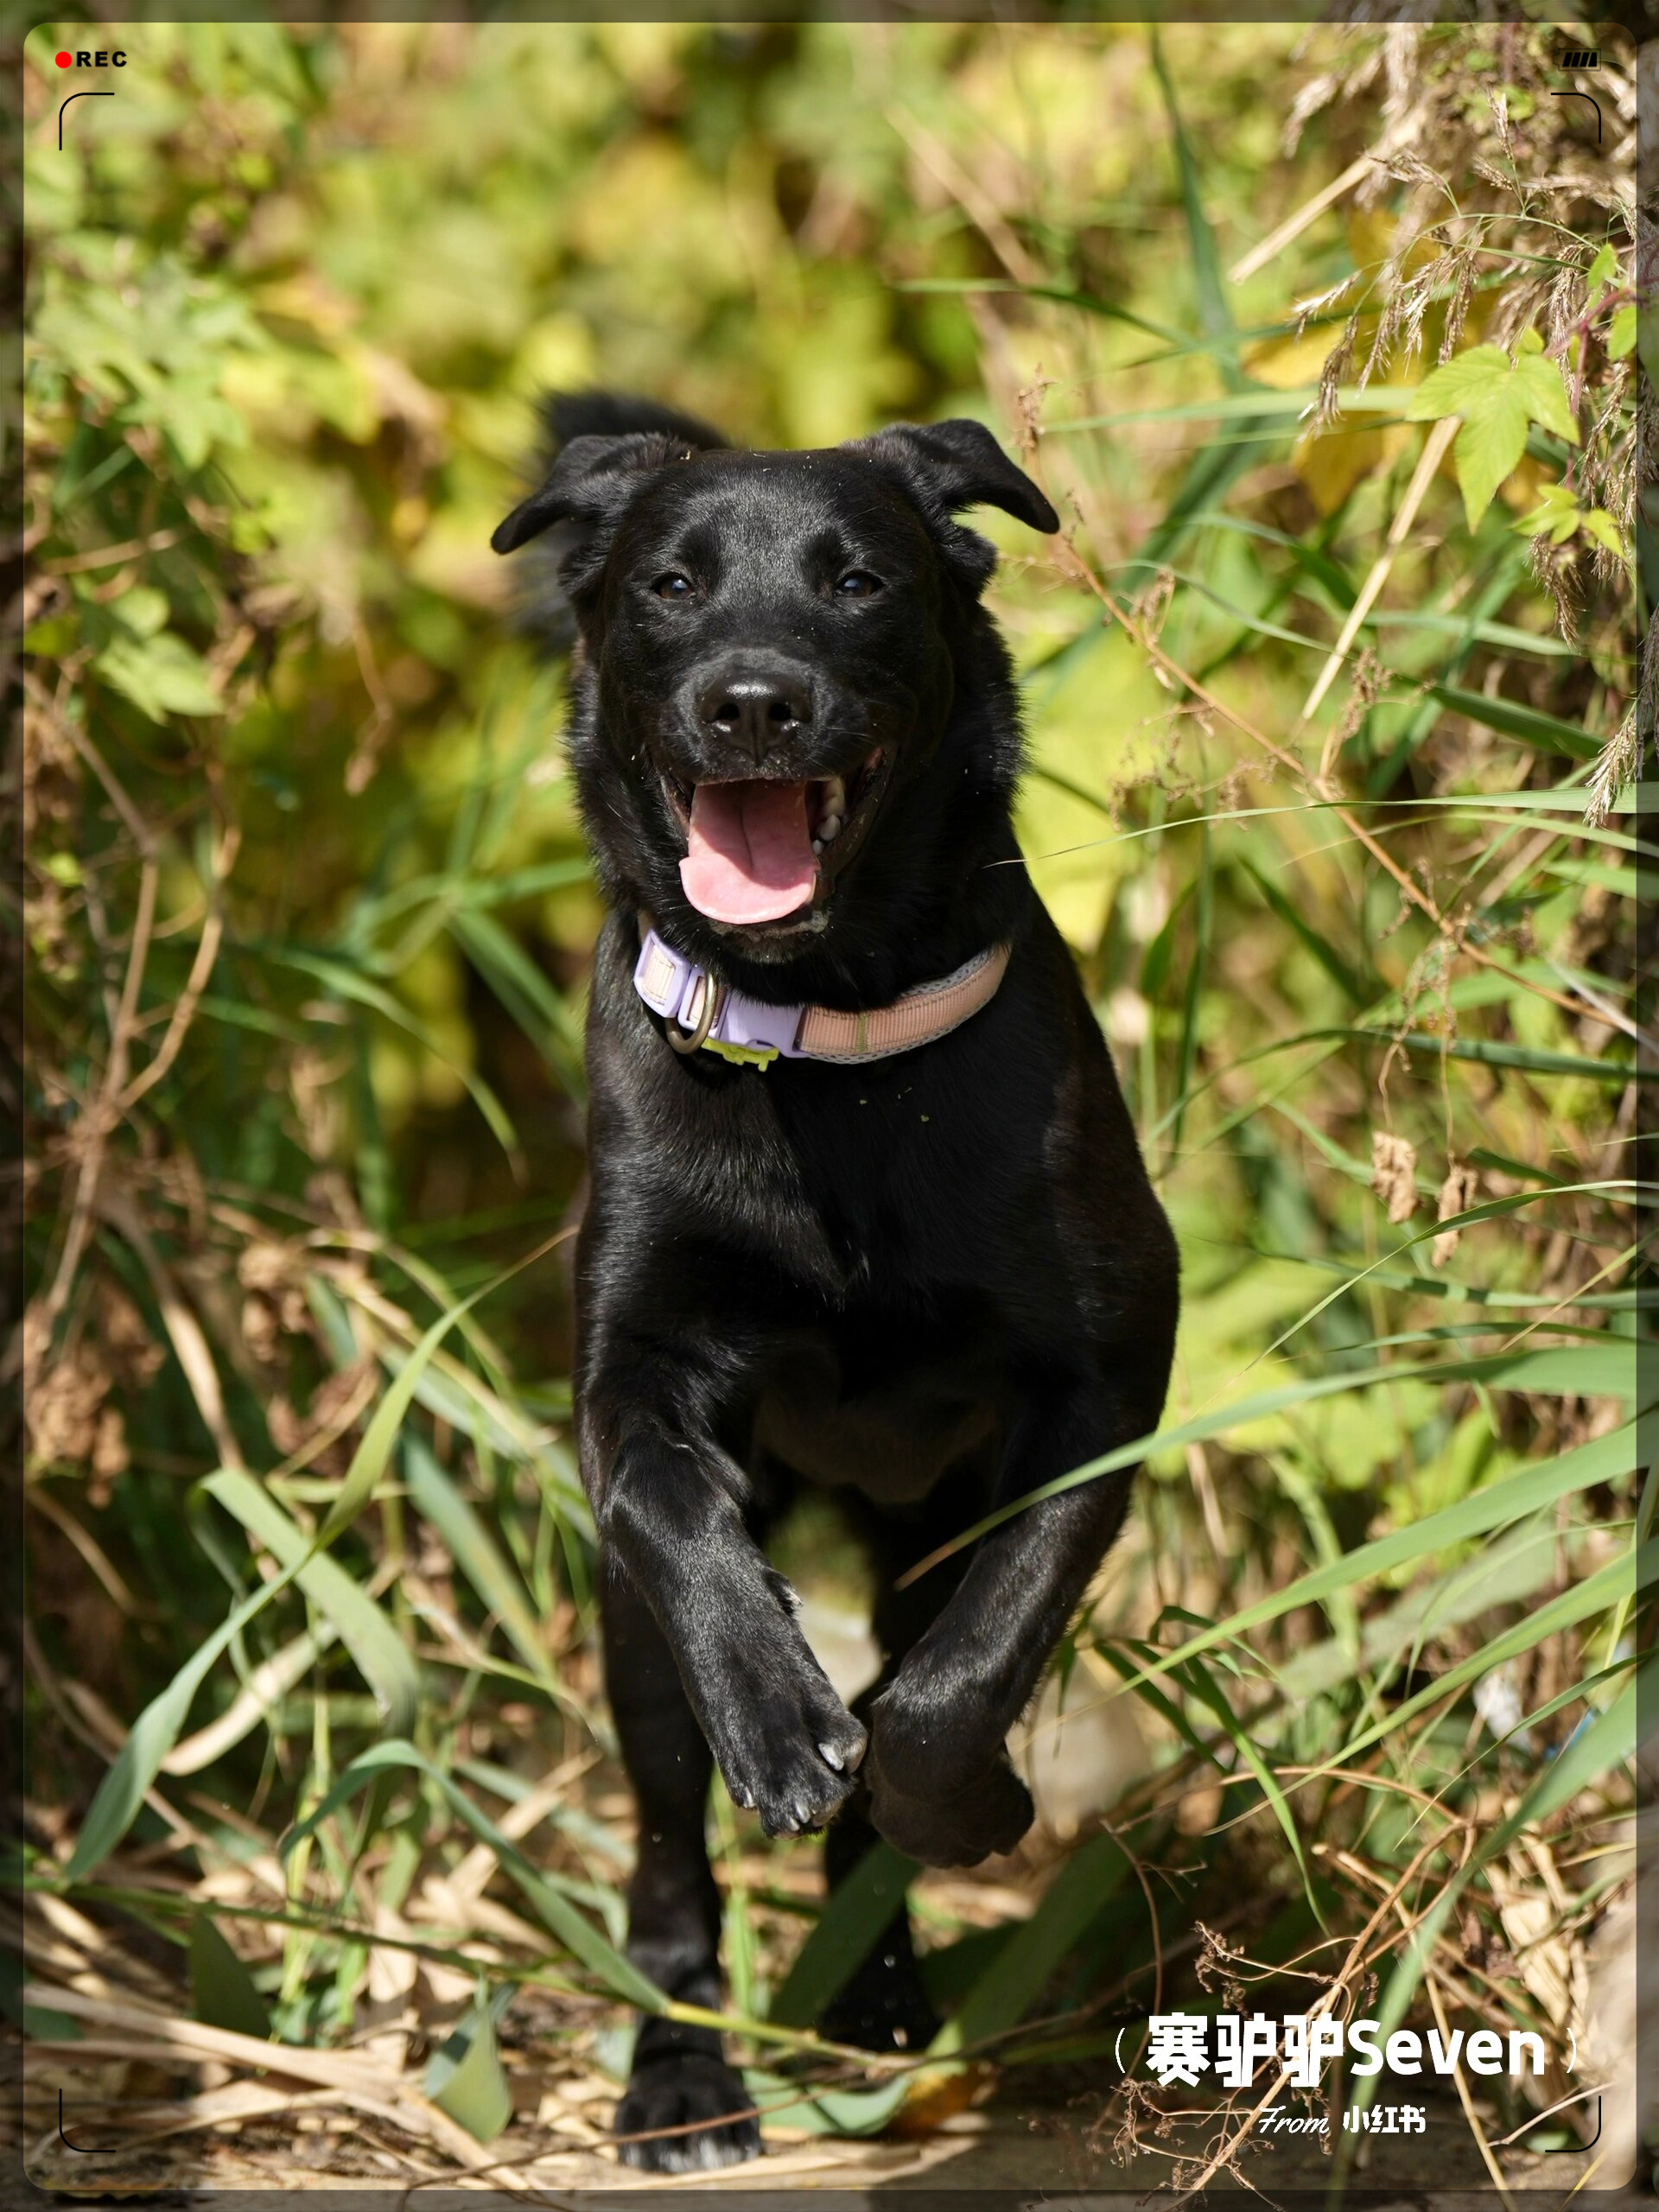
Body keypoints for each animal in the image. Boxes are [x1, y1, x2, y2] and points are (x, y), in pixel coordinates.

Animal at [493, 389, 1185, 2167]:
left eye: (858, 580)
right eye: (670, 584)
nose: (754, 700)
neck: (829, 1059)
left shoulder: (1102, 1381)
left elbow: (956, 1682)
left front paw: (964, 1798)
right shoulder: (631, 1376)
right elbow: (678, 1509)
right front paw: (781, 1716)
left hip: (917, 1528)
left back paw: (872, 1977)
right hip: (631, 1659)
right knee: (666, 1855)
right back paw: (682, 2076)